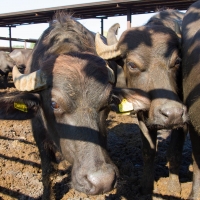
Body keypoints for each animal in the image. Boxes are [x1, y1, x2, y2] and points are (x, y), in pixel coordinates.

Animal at [95, 9, 188, 195]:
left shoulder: (183, 121)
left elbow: (174, 153)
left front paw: (174, 188)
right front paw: (146, 186)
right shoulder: (142, 115)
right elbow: (148, 151)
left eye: (177, 62)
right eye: (132, 64)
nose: (172, 114)